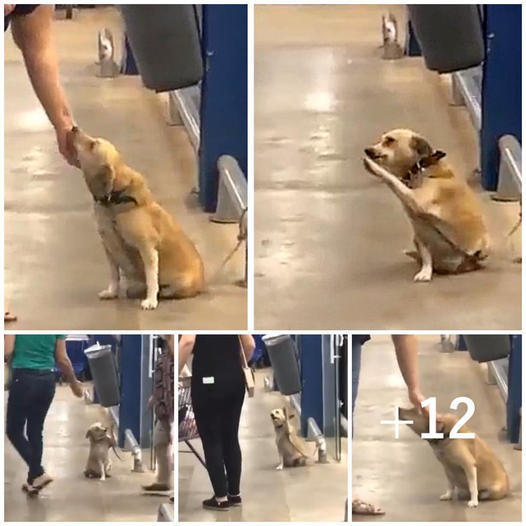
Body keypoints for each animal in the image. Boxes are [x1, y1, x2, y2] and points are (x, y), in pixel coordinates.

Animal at [73, 127, 205, 310]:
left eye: (93, 144)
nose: (74, 128)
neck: (114, 200)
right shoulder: (108, 247)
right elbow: (114, 275)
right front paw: (112, 291)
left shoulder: (146, 248)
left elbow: (151, 278)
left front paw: (150, 300)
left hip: (182, 281)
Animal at [364, 129, 490, 282]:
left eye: (390, 140)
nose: (367, 150)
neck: (420, 168)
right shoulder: (419, 230)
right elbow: (426, 256)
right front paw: (425, 271)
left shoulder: (417, 200)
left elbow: (391, 179)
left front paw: (374, 167)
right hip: (417, 238)